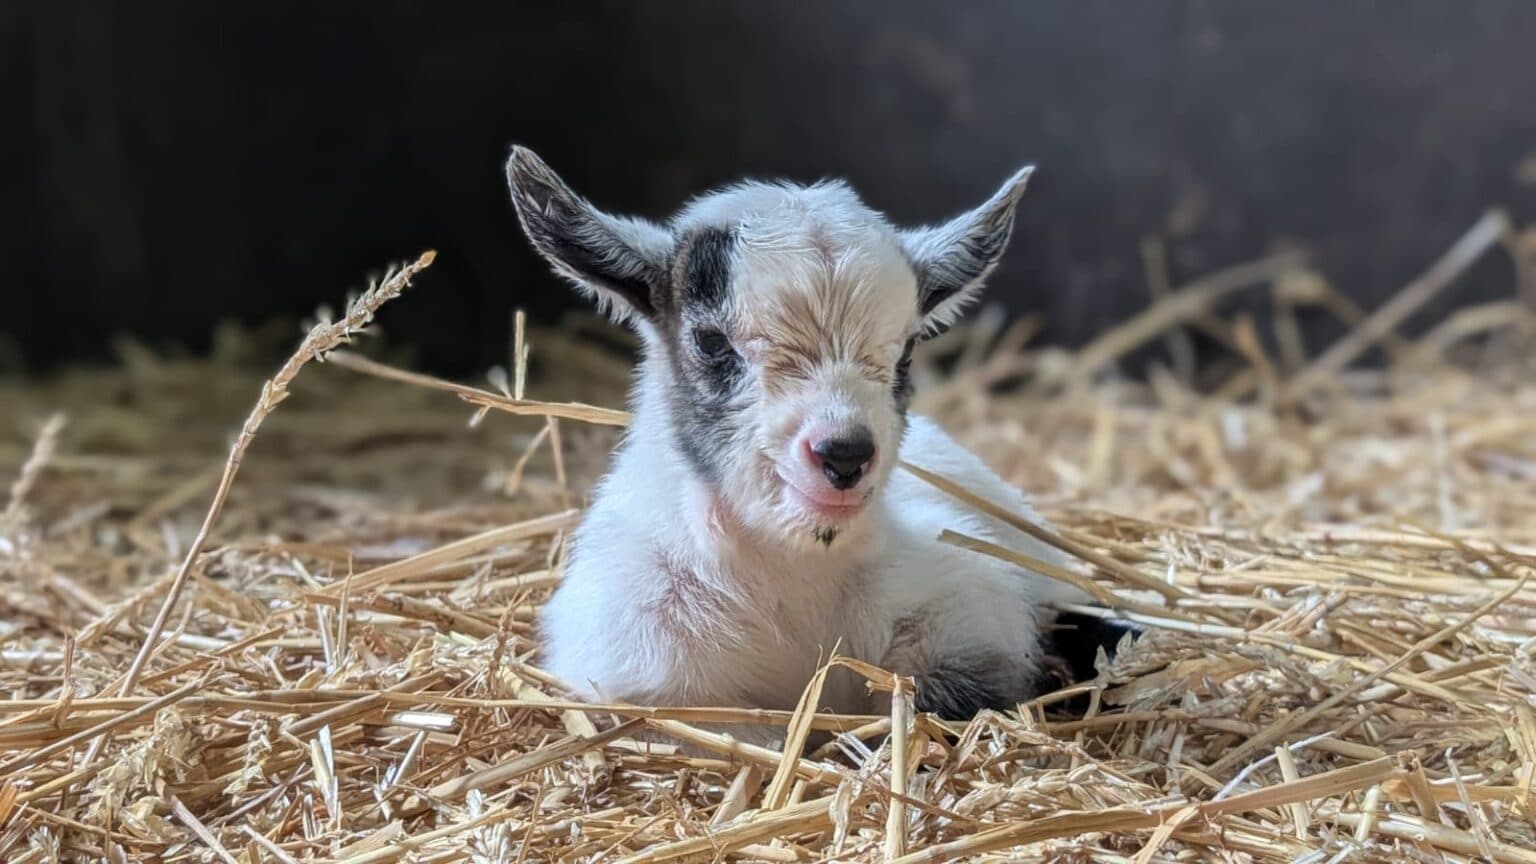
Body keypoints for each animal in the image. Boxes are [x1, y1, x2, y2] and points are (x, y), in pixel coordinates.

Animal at [504, 146, 1127, 745]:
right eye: (711, 342)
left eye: (906, 352)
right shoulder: (646, 676)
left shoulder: (966, 610)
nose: (845, 455)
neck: (794, 580)